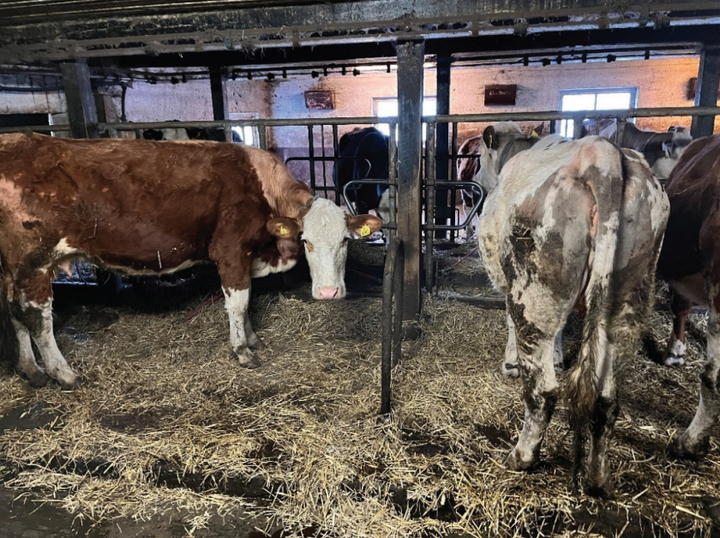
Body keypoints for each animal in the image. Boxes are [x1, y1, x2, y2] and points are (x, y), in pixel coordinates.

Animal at [0, 133, 382, 389]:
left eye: (345, 241)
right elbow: (238, 302)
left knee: (13, 311)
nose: (329, 293)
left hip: (9, 267)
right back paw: (63, 373)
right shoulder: (229, 249)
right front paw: (242, 350)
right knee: (37, 317)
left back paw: (30, 370)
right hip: (34, 260)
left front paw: (252, 338)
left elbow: (246, 302)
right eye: (306, 241)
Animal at [476, 123, 669, 495]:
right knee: (606, 398)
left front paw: (510, 365)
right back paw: (597, 477)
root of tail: (602, 155)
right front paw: (556, 358)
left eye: (479, 155)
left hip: (533, 291)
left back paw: (521, 457)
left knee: (543, 391)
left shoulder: (507, 284)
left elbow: (511, 324)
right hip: (628, 296)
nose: (476, 177)